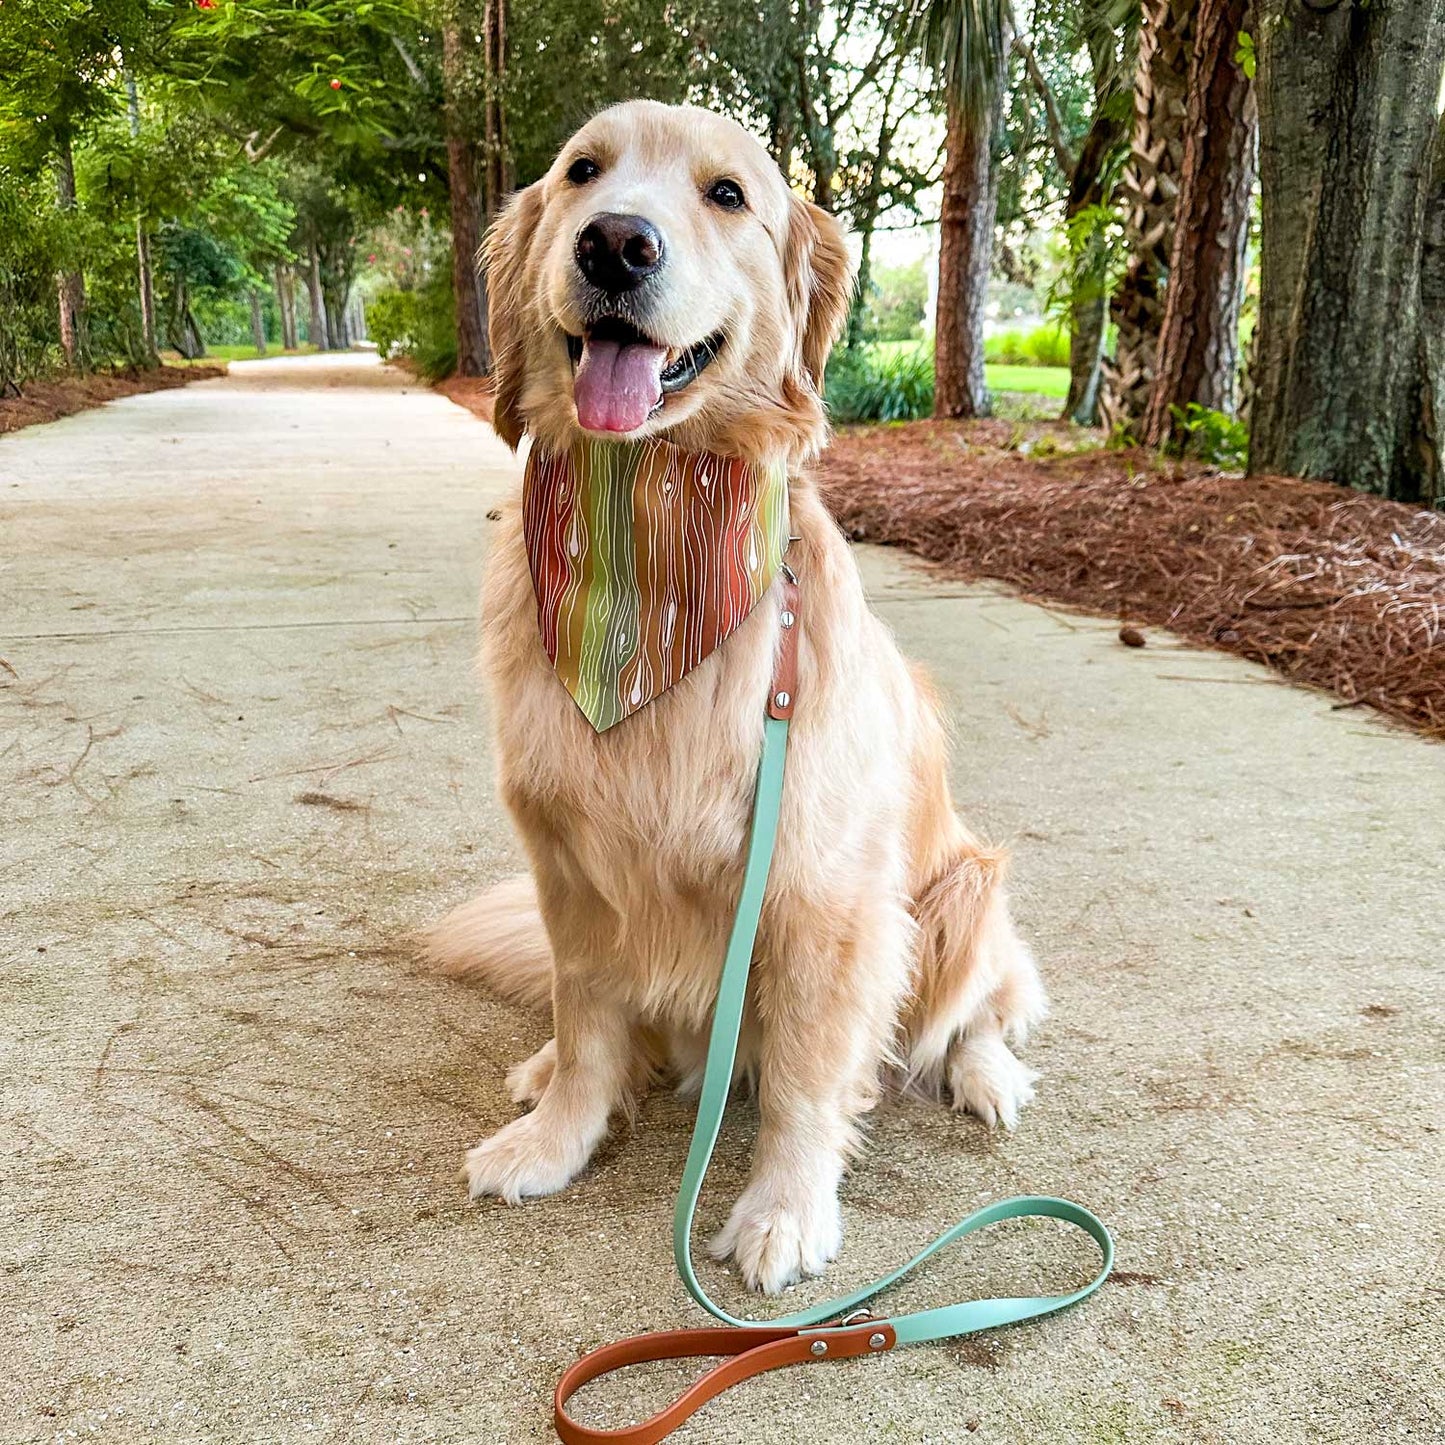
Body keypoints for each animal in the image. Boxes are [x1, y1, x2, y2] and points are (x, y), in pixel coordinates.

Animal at [421, 101, 1046, 1300]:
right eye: (581, 173)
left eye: (727, 194)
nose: (615, 245)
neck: (646, 526)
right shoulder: (568, 867)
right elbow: (585, 1015)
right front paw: (558, 1134)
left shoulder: (818, 895)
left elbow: (807, 1072)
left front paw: (785, 1208)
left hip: (964, 890)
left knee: (978, 1009)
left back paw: (985, 1076)